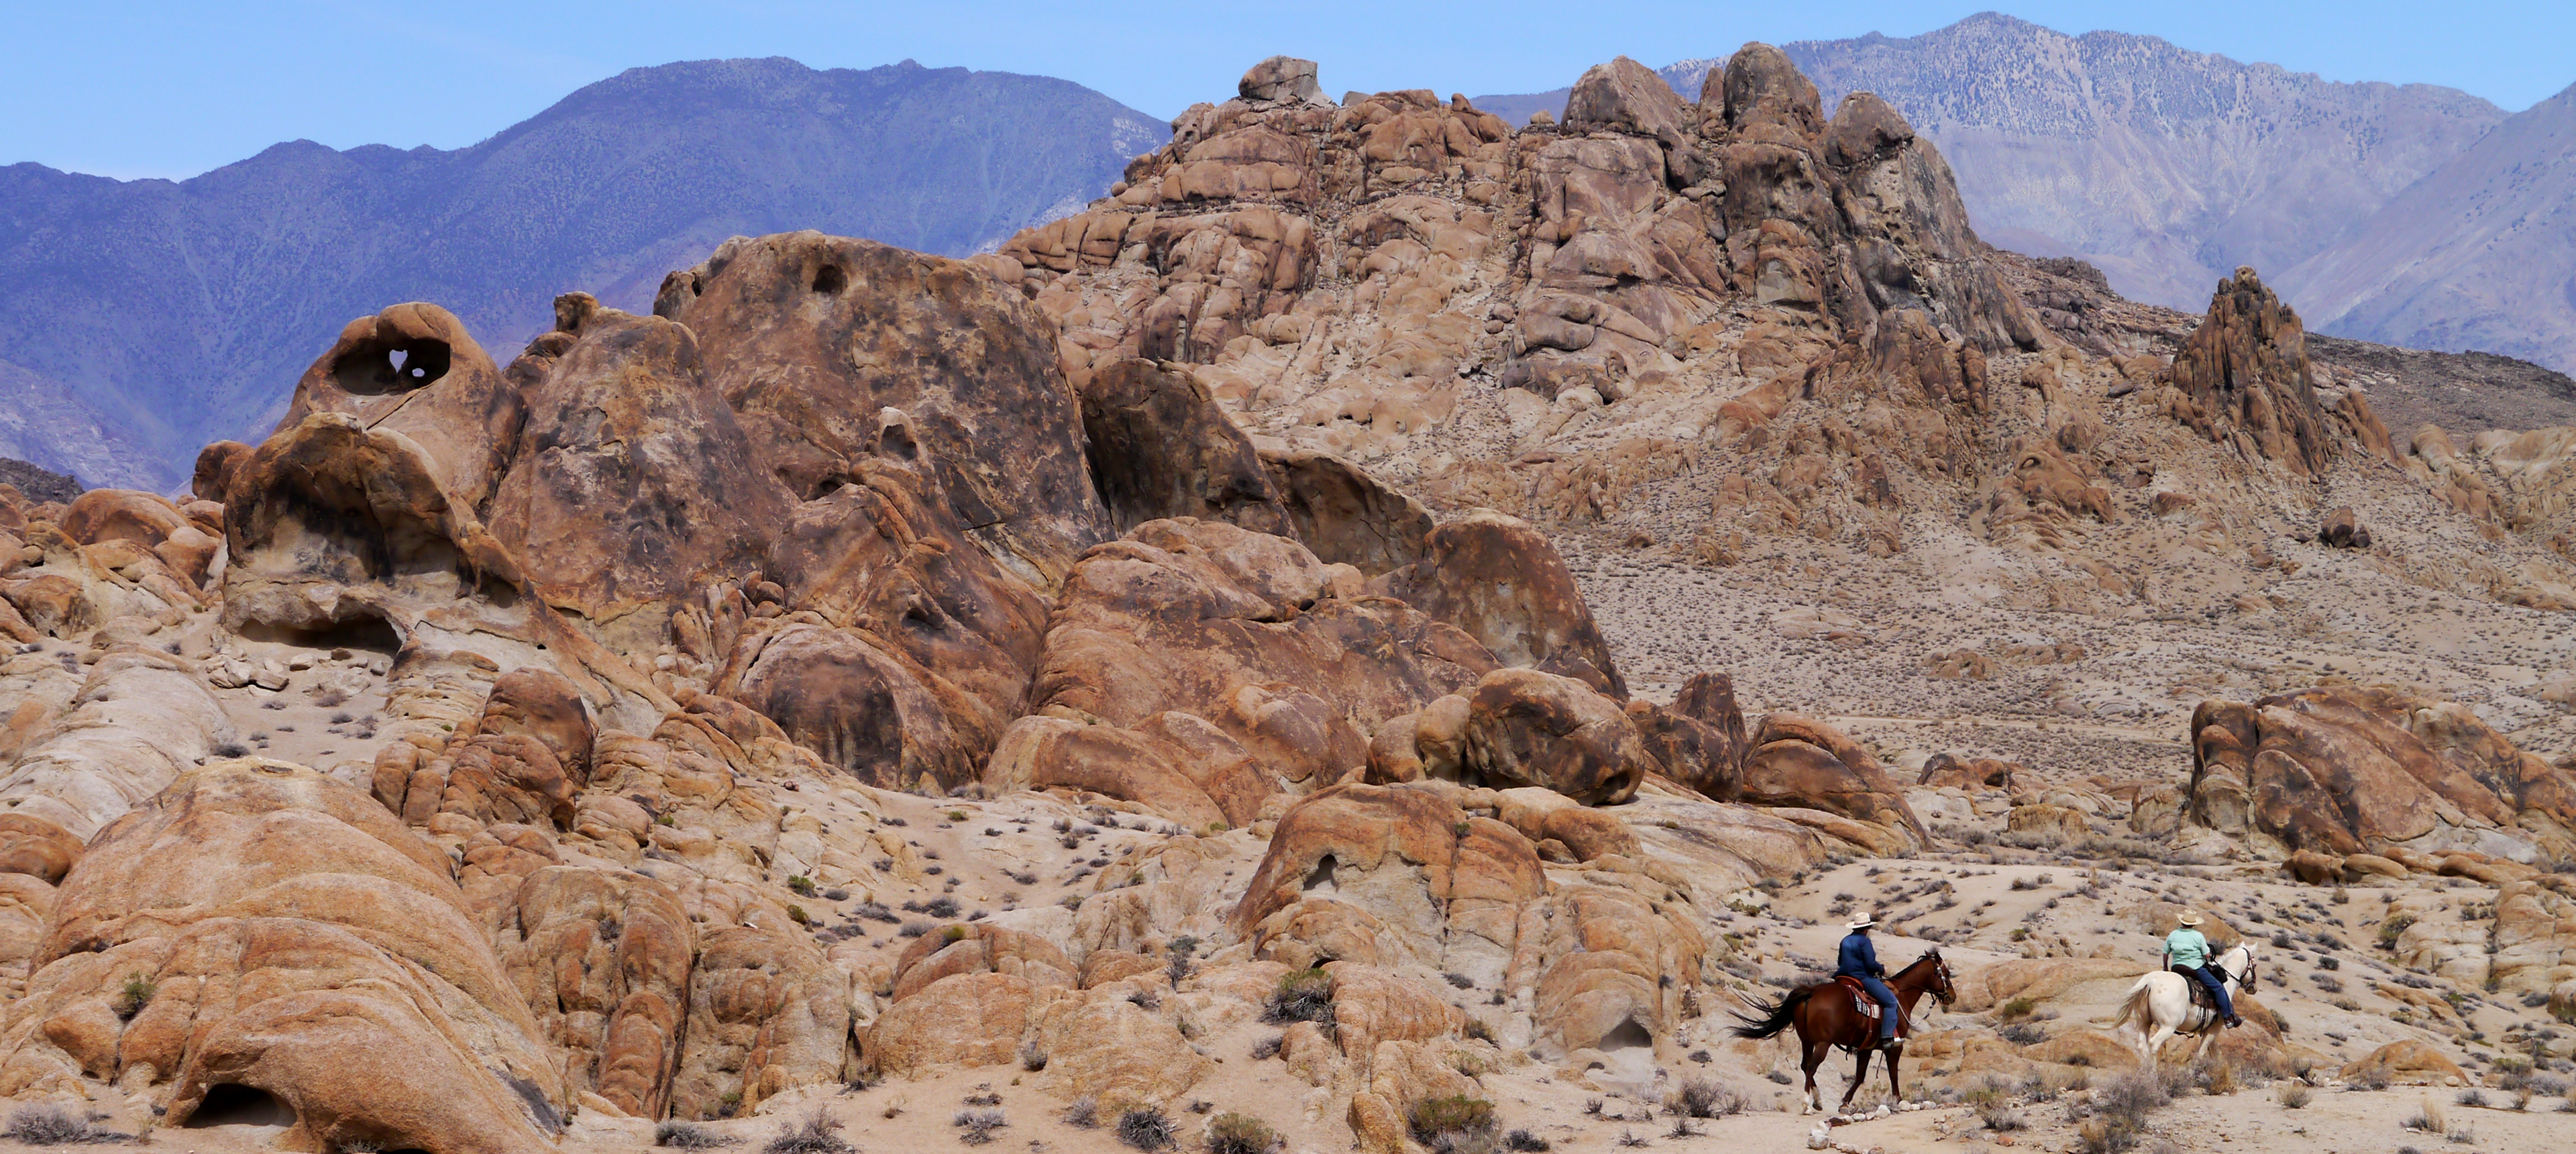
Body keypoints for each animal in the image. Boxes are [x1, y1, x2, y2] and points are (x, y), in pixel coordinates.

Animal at [1731, 947, 1947, 1118]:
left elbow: (1860, 1077)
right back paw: (1807, 1105)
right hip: (1823, 1043)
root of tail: (1812, 992)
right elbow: (1893, 1074)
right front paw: (1900, 1101)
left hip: (1807, 1040)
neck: (1900, 996)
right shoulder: (1895, 1046)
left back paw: (1818, 1101)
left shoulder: (1866, 1048)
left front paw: (1844, 1103)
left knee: (1804, 1066)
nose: (1951, 997)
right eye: (1946, 973)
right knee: (1811, 1067)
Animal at [2112, 943, 2256, 1066]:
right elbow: (2200, 1055)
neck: (2225, 983)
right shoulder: (2213, 1030)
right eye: (2254, 965)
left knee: (2142, 1047)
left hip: (2144, 1022)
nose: (2253, 988)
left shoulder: (2211, 1032)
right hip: (2168, 1027)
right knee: (2154, 1044)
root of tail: (2152, 981)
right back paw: (2153, 1076)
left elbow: (2215, 1054)